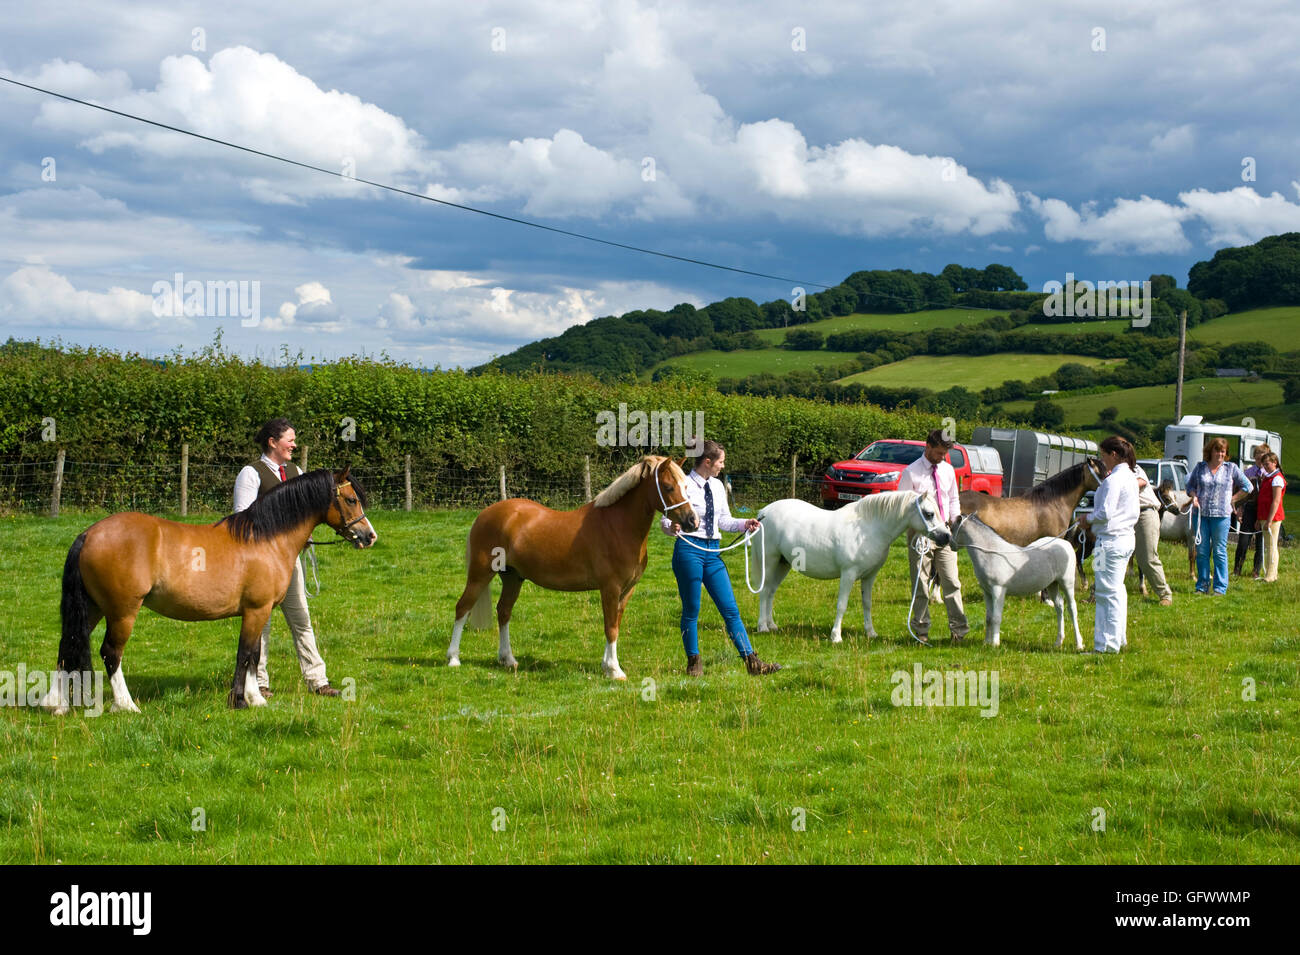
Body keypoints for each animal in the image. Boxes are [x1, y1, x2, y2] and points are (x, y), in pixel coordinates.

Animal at [40, 467, 377, 714]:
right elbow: (245, 654)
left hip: (94, 607)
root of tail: (89, 534)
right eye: (350, 500)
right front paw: (240, 701)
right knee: (110, 653)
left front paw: (256, 699)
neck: (266, 538)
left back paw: (56, 705)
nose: (369, 536)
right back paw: (126, 705)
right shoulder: (256, 610)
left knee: (68, 644)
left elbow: (254, 654)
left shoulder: (260, 611)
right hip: (122, 611)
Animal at [446, 455, 698, 679]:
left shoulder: (626, 590)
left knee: (504, 611)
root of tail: (485, 514)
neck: (618, 526)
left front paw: (607, 666)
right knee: (463, 608)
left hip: (512, 577)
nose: (692, 521)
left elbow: (615, 624)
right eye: (668, 487)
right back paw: (453, 658)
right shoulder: (610, 588)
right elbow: (610, 627)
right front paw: (615, 671)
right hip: (480, 573)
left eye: (686, 486)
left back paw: (508, 659)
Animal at [754, 489, 951, 643]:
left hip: (783, 564)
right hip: (769, 561)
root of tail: (763, 513)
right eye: (929, 513)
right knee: (764, 591)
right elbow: (842, 604)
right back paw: (762, 626)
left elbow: (867, 603)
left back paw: (772, 625)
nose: (946, 537)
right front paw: (836, 636)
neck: (868, 529)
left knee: (771, 592)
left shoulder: (870, 576)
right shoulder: (848, 574)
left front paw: (871, 632)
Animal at [952, 514, 1082, 649]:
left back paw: (1079, 644)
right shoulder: (987, 592)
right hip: (1053, 584)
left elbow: (996, 617)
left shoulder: (998, 590)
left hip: (1067, 583)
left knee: (1072, 609)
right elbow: (988, 617)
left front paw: (995, 644)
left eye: (951, 527)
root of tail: (1065, 543)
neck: (991, 554)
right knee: (1059, 606)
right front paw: (986, 642)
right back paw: (1058, 642)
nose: (950, 544)